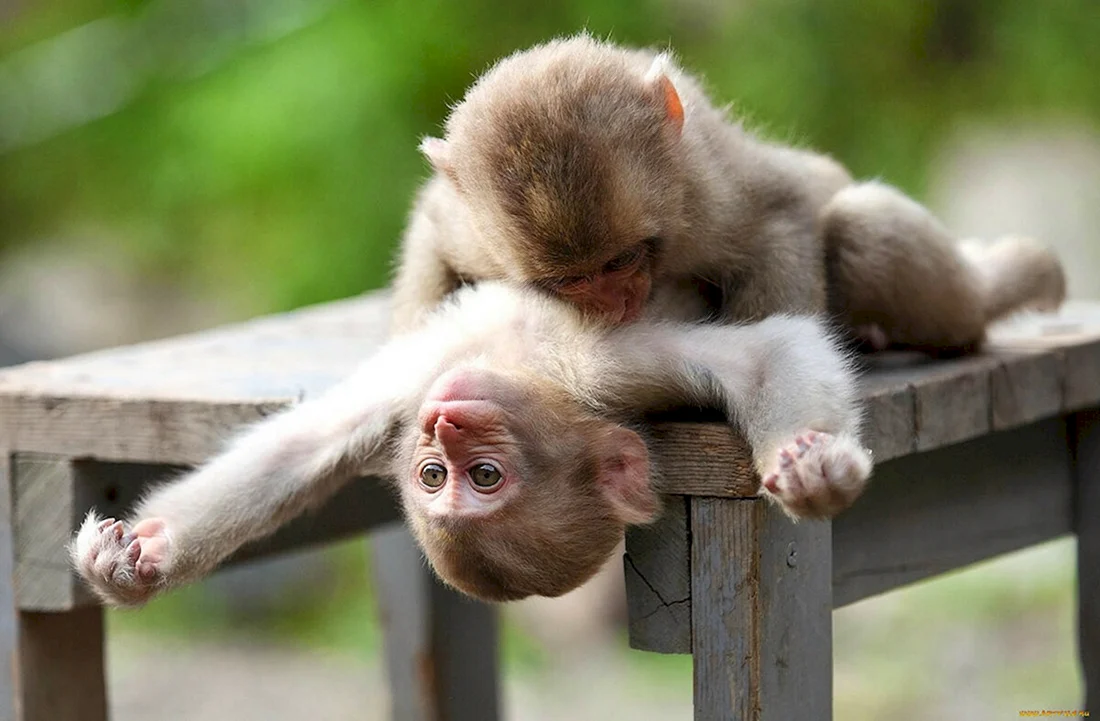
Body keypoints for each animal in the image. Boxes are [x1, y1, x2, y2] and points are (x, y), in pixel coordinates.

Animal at [71, 282, 869, 606]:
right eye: (433, 475)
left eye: (483, 476)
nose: (446, 424)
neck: (525, 367)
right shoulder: (413, 396)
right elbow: (300, 446)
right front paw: (137, 564)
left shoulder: (600, 370)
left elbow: (769, 352)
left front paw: (815, 470)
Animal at [393, 33, 1065, 351]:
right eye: (569, 281)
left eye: (621, 261)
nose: (614, 304)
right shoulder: (473, 231)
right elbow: (430, 228)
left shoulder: (704, 198)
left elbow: (783, 215)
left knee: (860, 227)